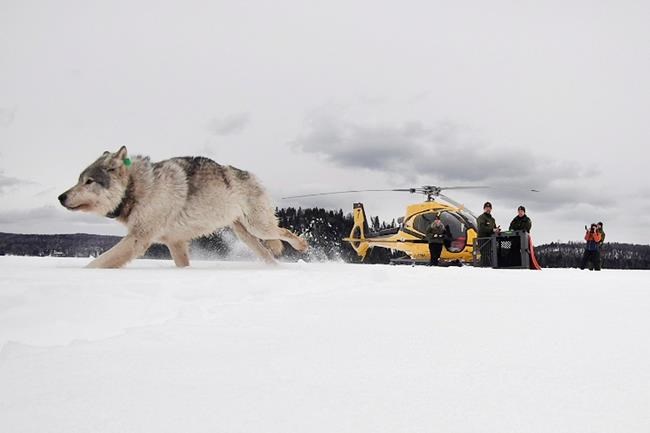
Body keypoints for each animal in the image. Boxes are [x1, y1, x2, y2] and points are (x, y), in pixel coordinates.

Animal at [58, 146, 308, 268]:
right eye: (79, 179)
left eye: (89, 181)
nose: (61, 197)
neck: (138, 188)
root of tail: (250, 174)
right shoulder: (175, 242)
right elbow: (182, 265)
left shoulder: (138, 239)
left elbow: (97, 263)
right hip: (245, 235)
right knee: (268, 254)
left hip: (259, 227)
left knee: (285, 232)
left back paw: (302, 245)